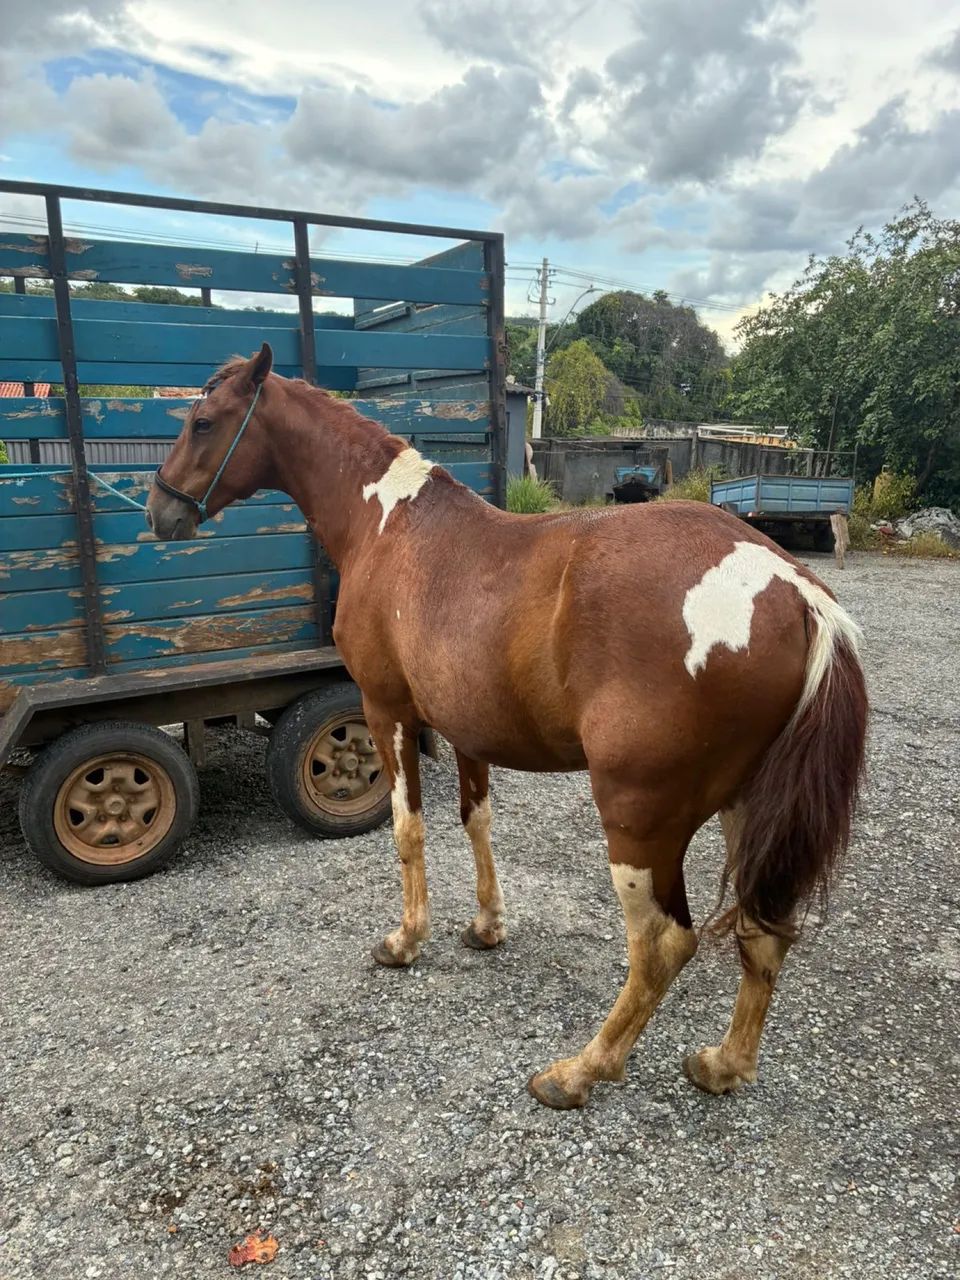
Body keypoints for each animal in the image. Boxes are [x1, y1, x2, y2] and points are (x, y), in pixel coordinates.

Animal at [147, 344, 868, 1111]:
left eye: (202, 421)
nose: (159, 509)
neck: (391, 526)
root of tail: (797, 592)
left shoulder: (385, 709)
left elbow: (408, 830)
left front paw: (407, 940)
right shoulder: (467, 730)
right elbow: (477, 821)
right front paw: (486, 926)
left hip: (639, 819)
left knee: (662, 945)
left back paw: (580, 1070)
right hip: (747, 808)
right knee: (764, 930)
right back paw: (725, 1064)